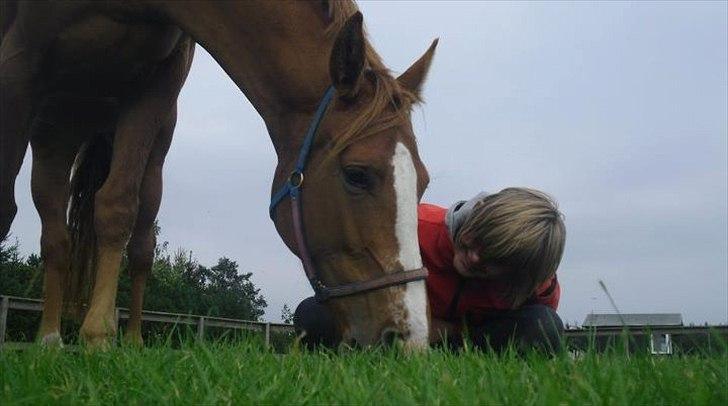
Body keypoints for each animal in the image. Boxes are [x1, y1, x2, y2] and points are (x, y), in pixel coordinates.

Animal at [1, 0, 438, 348]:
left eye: (424, 181)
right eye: (357, 175)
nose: (410, 339)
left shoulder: (156, 85)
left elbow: (116, 206)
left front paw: (98, 339)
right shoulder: (17, 63)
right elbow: (8, 214)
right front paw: (94, 338)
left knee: (136, 245)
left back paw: (128, 340)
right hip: (53, 137)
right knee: (56, 240)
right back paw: (49, 339)